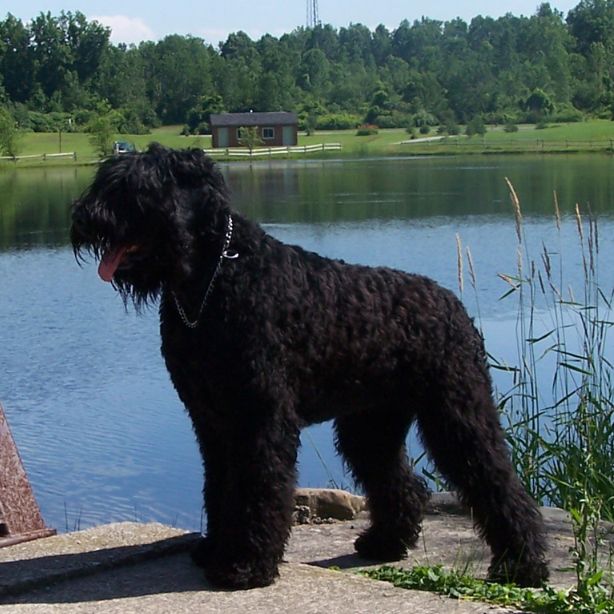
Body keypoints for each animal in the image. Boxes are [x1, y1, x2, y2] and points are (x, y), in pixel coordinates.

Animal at [70, 144, 552, 592]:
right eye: (105, 181)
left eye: (137, 188)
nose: (85, 218)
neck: (212, 280)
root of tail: (452, 303)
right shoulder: (212, 421)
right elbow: (219, 487)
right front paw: (215, 549)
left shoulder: (259, 417)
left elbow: (257, 489)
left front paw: (245, 565)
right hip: (370, 426)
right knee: (402, 483)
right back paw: (384, 543)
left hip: (456, 414)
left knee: (497, 482)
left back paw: (521, 565)